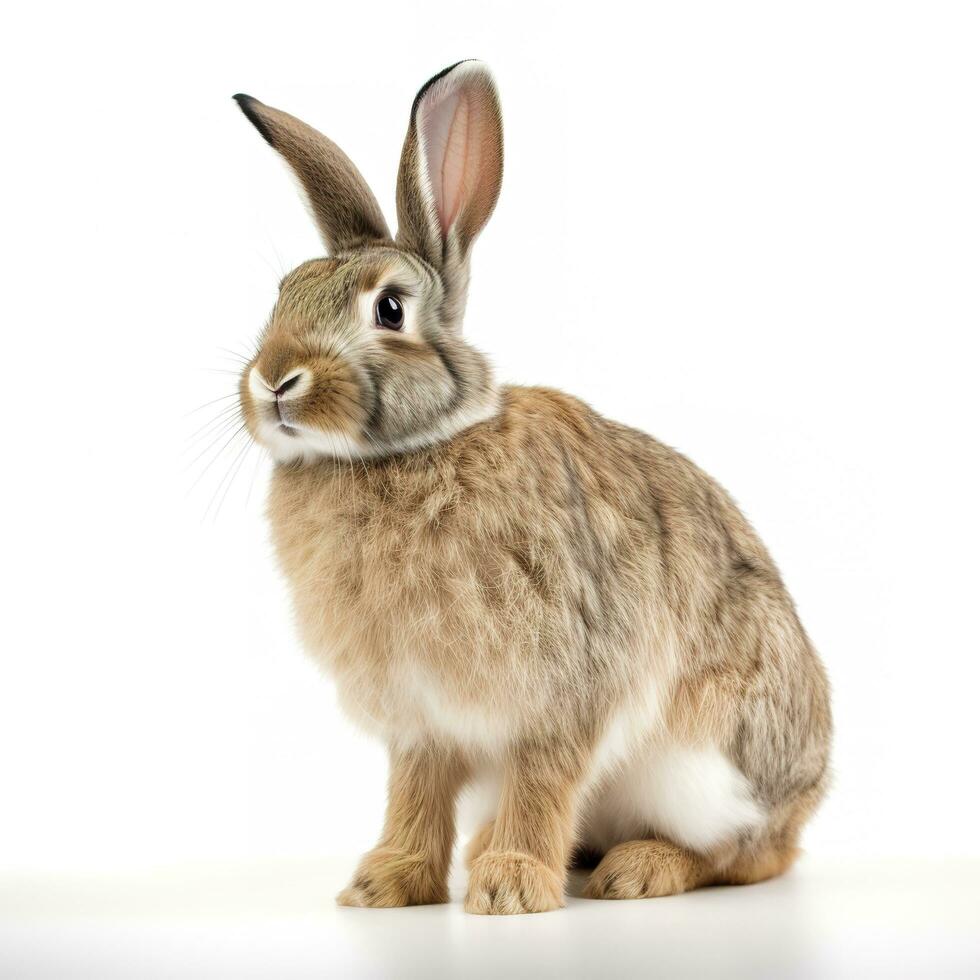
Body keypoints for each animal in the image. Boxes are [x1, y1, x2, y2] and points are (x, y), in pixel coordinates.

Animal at [232, 61, 836, 916]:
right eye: (284, 293)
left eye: (390, 308)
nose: (274, 380)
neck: (408, 451)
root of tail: (810, 787)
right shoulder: (421, 722)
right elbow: (414, 794)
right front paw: (386, 882)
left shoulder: (561, 692)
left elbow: (543, 781)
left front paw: (511, 888)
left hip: (708, 769)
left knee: (751, 854)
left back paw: (638, 869)